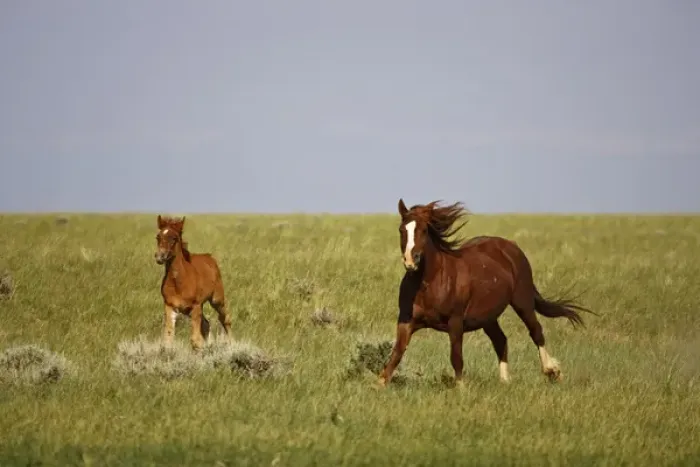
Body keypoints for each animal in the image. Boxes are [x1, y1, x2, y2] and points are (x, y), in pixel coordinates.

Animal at [154, 215, 232, 350]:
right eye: (158, 237)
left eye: (174, 238)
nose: (160, 256)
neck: (178, 283)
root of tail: (210, 257)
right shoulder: (170, 306)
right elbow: (168, 339)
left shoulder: (195, 306)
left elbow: (195, 341)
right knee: (206, 324)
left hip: (216, 300)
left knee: (225, 319)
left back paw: (233, 345)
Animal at [378, 199, 595, 388]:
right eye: (402, 230)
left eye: (423, 230)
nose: (410, 261)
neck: (429, 283)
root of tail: (511, 247)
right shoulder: (406, 321)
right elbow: (396, 355)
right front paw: (379, 385)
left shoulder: (455, 322)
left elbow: (456, 357)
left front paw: (461, 388)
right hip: (488, 317)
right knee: (501, 340)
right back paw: (505, 381)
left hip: (522, 301)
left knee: (536, 332)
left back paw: (551, 371)